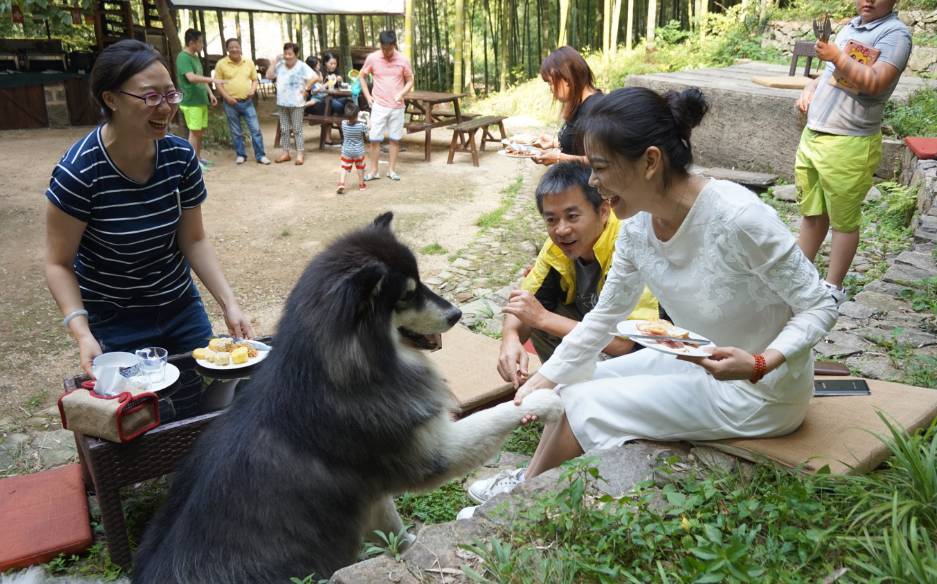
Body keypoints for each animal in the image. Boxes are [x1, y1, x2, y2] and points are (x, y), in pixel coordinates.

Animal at [132, 214, 564, 584]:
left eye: (421, 283)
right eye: (407, 296)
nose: (456, 314)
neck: (337, 373)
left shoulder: (371, 494)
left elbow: (396, 533)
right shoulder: (430, 453)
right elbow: (498, 412)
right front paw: (546, 401)